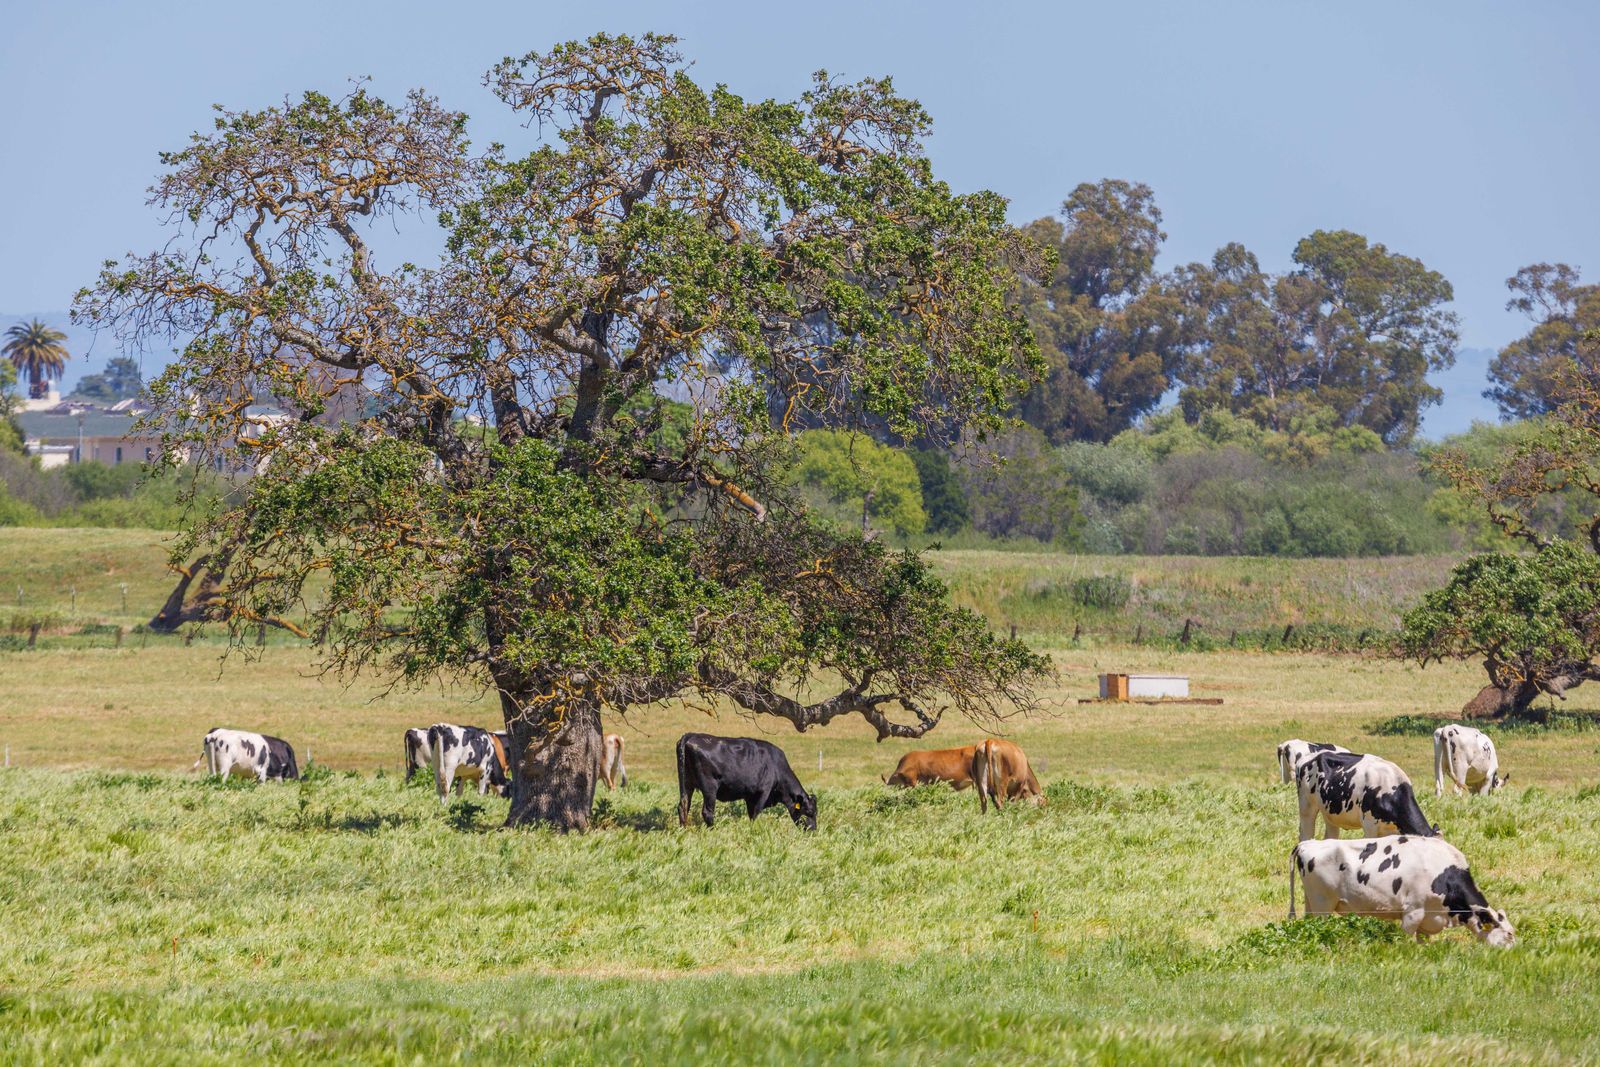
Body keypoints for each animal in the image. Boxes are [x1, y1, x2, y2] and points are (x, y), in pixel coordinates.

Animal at [675, 733, 816, 830]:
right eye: (809, 812)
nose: (813, 831)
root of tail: (692, 735)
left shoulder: (750, 796)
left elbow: (750, 814)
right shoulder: (763, 792)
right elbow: (755, 814)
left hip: (686, 784)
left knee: (683, 806)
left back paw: (684, 830)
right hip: (710, 787)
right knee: (707, 812)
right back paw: (713, 830)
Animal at [1289, 835, 1515, 946]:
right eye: (1509, 934)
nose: (1514, 954)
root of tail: (1308, 843)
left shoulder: (1429, 918)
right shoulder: (1413, 912)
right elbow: (1406, 940)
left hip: (1311, 902)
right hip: (1322, 904)